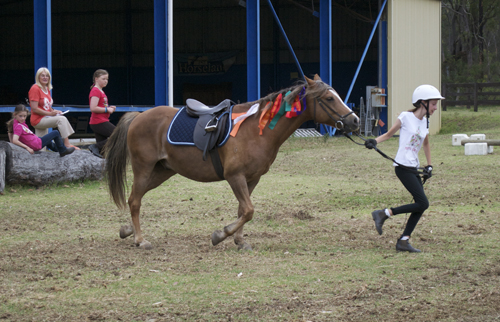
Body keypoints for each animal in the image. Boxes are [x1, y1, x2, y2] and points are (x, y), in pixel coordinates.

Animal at [105, 75, 358, 249]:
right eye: (329, 98)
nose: (354, 121)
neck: (256, 131)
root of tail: (139, 116)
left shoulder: (251, 179)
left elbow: (243, 210)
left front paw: (239, 240)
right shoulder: (234, 176)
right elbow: (248, 210)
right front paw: (221, 235)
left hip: (161, 171)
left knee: (134, 198)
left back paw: (128, 230)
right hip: (144, 168)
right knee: (135, 200)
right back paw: (140, 239)